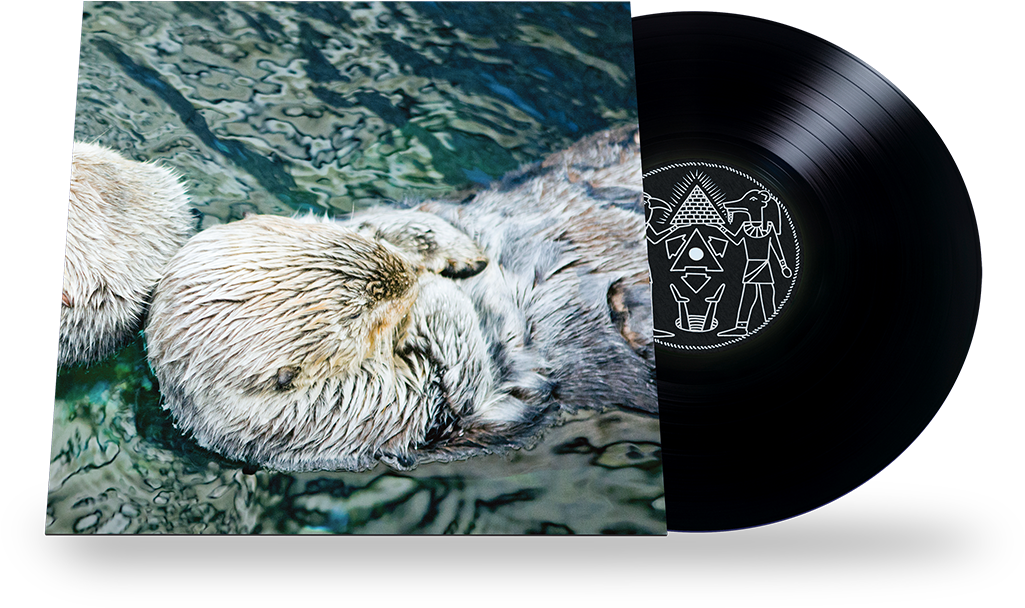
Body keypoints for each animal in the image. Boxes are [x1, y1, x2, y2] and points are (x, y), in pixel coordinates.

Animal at [145, 125, 655, 472]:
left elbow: (394, 218)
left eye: (363, 243)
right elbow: (466, 382)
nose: (411, 277)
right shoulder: (373, 414)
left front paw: (449, 252)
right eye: (367, 320)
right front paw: (436, 296)